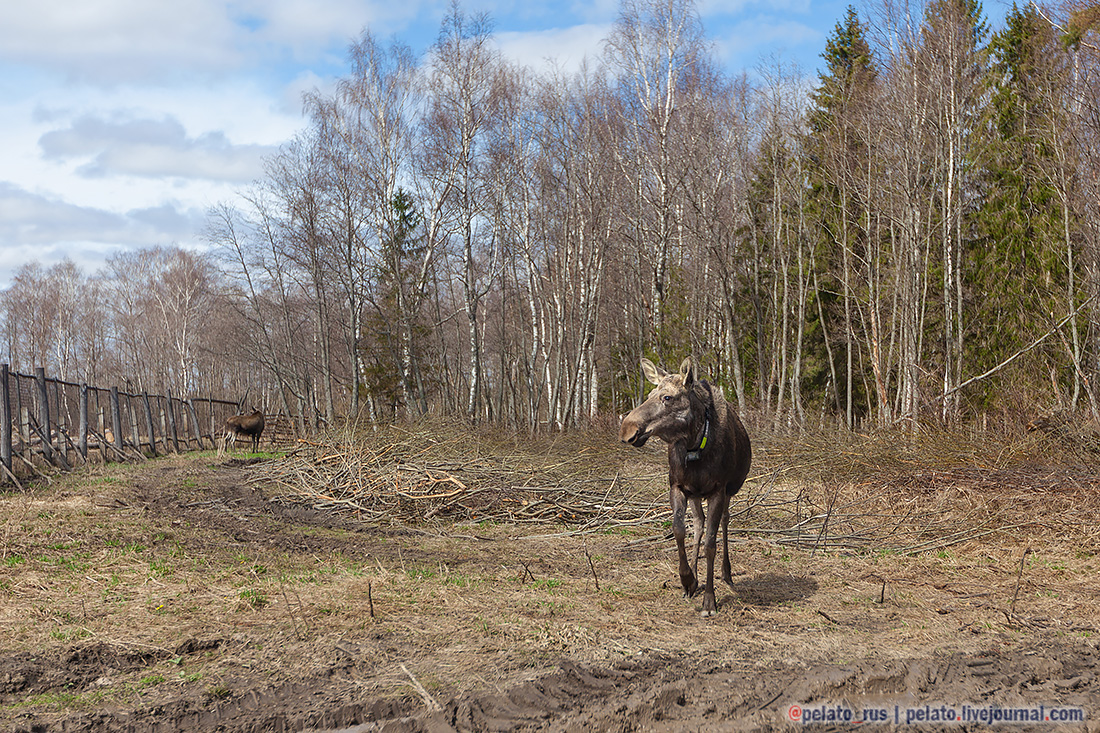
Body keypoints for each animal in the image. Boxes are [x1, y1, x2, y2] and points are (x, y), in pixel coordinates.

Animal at [620, 356, 748, 611]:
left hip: (728, 491)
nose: (627, 429)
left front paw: (709, 600)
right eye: (650, 393)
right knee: (698, 523)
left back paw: (726, 573)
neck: (694, 445)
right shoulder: (677, 487)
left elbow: (711, 544)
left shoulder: (718, 490)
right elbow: (679, 530)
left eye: (667, 397)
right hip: (697, 495)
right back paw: (696, 578)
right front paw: (688, 579)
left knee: (725, 522)